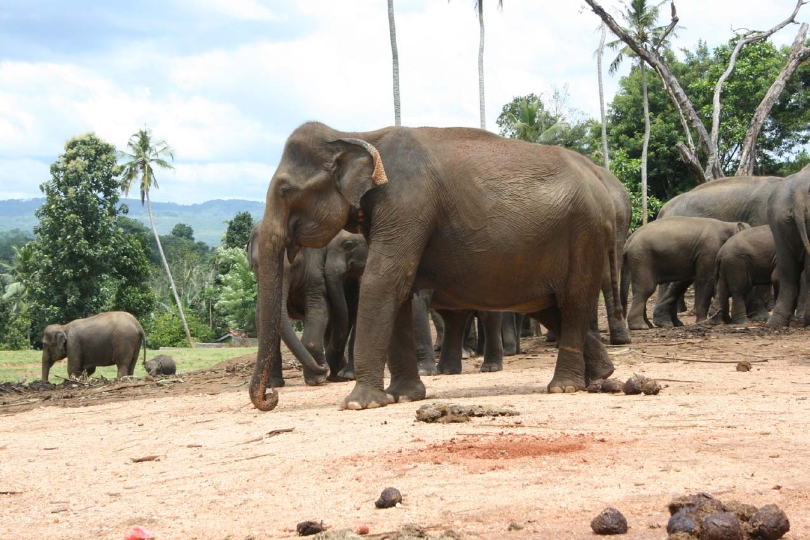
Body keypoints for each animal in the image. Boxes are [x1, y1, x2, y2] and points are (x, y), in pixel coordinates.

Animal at [249, 122, 620, 412]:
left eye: (285, 190)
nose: (271, 398)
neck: (358, 135)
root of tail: (601, 179)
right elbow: (398, 291)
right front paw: (403, 396)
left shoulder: (406, 203)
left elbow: (383, 281)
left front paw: (359, 403)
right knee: (549, 306)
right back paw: (600, 374)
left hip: (585, 234)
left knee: (573, 302)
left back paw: (564, 386)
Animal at [620, 217, 748, 332]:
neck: (730, 224)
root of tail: (629, 240)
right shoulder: (709, 251)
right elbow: (706, 280)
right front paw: (703, 323)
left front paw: (727, 321)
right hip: (642, 258)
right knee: (646, 289)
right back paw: (640, 327)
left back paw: (651, 324)